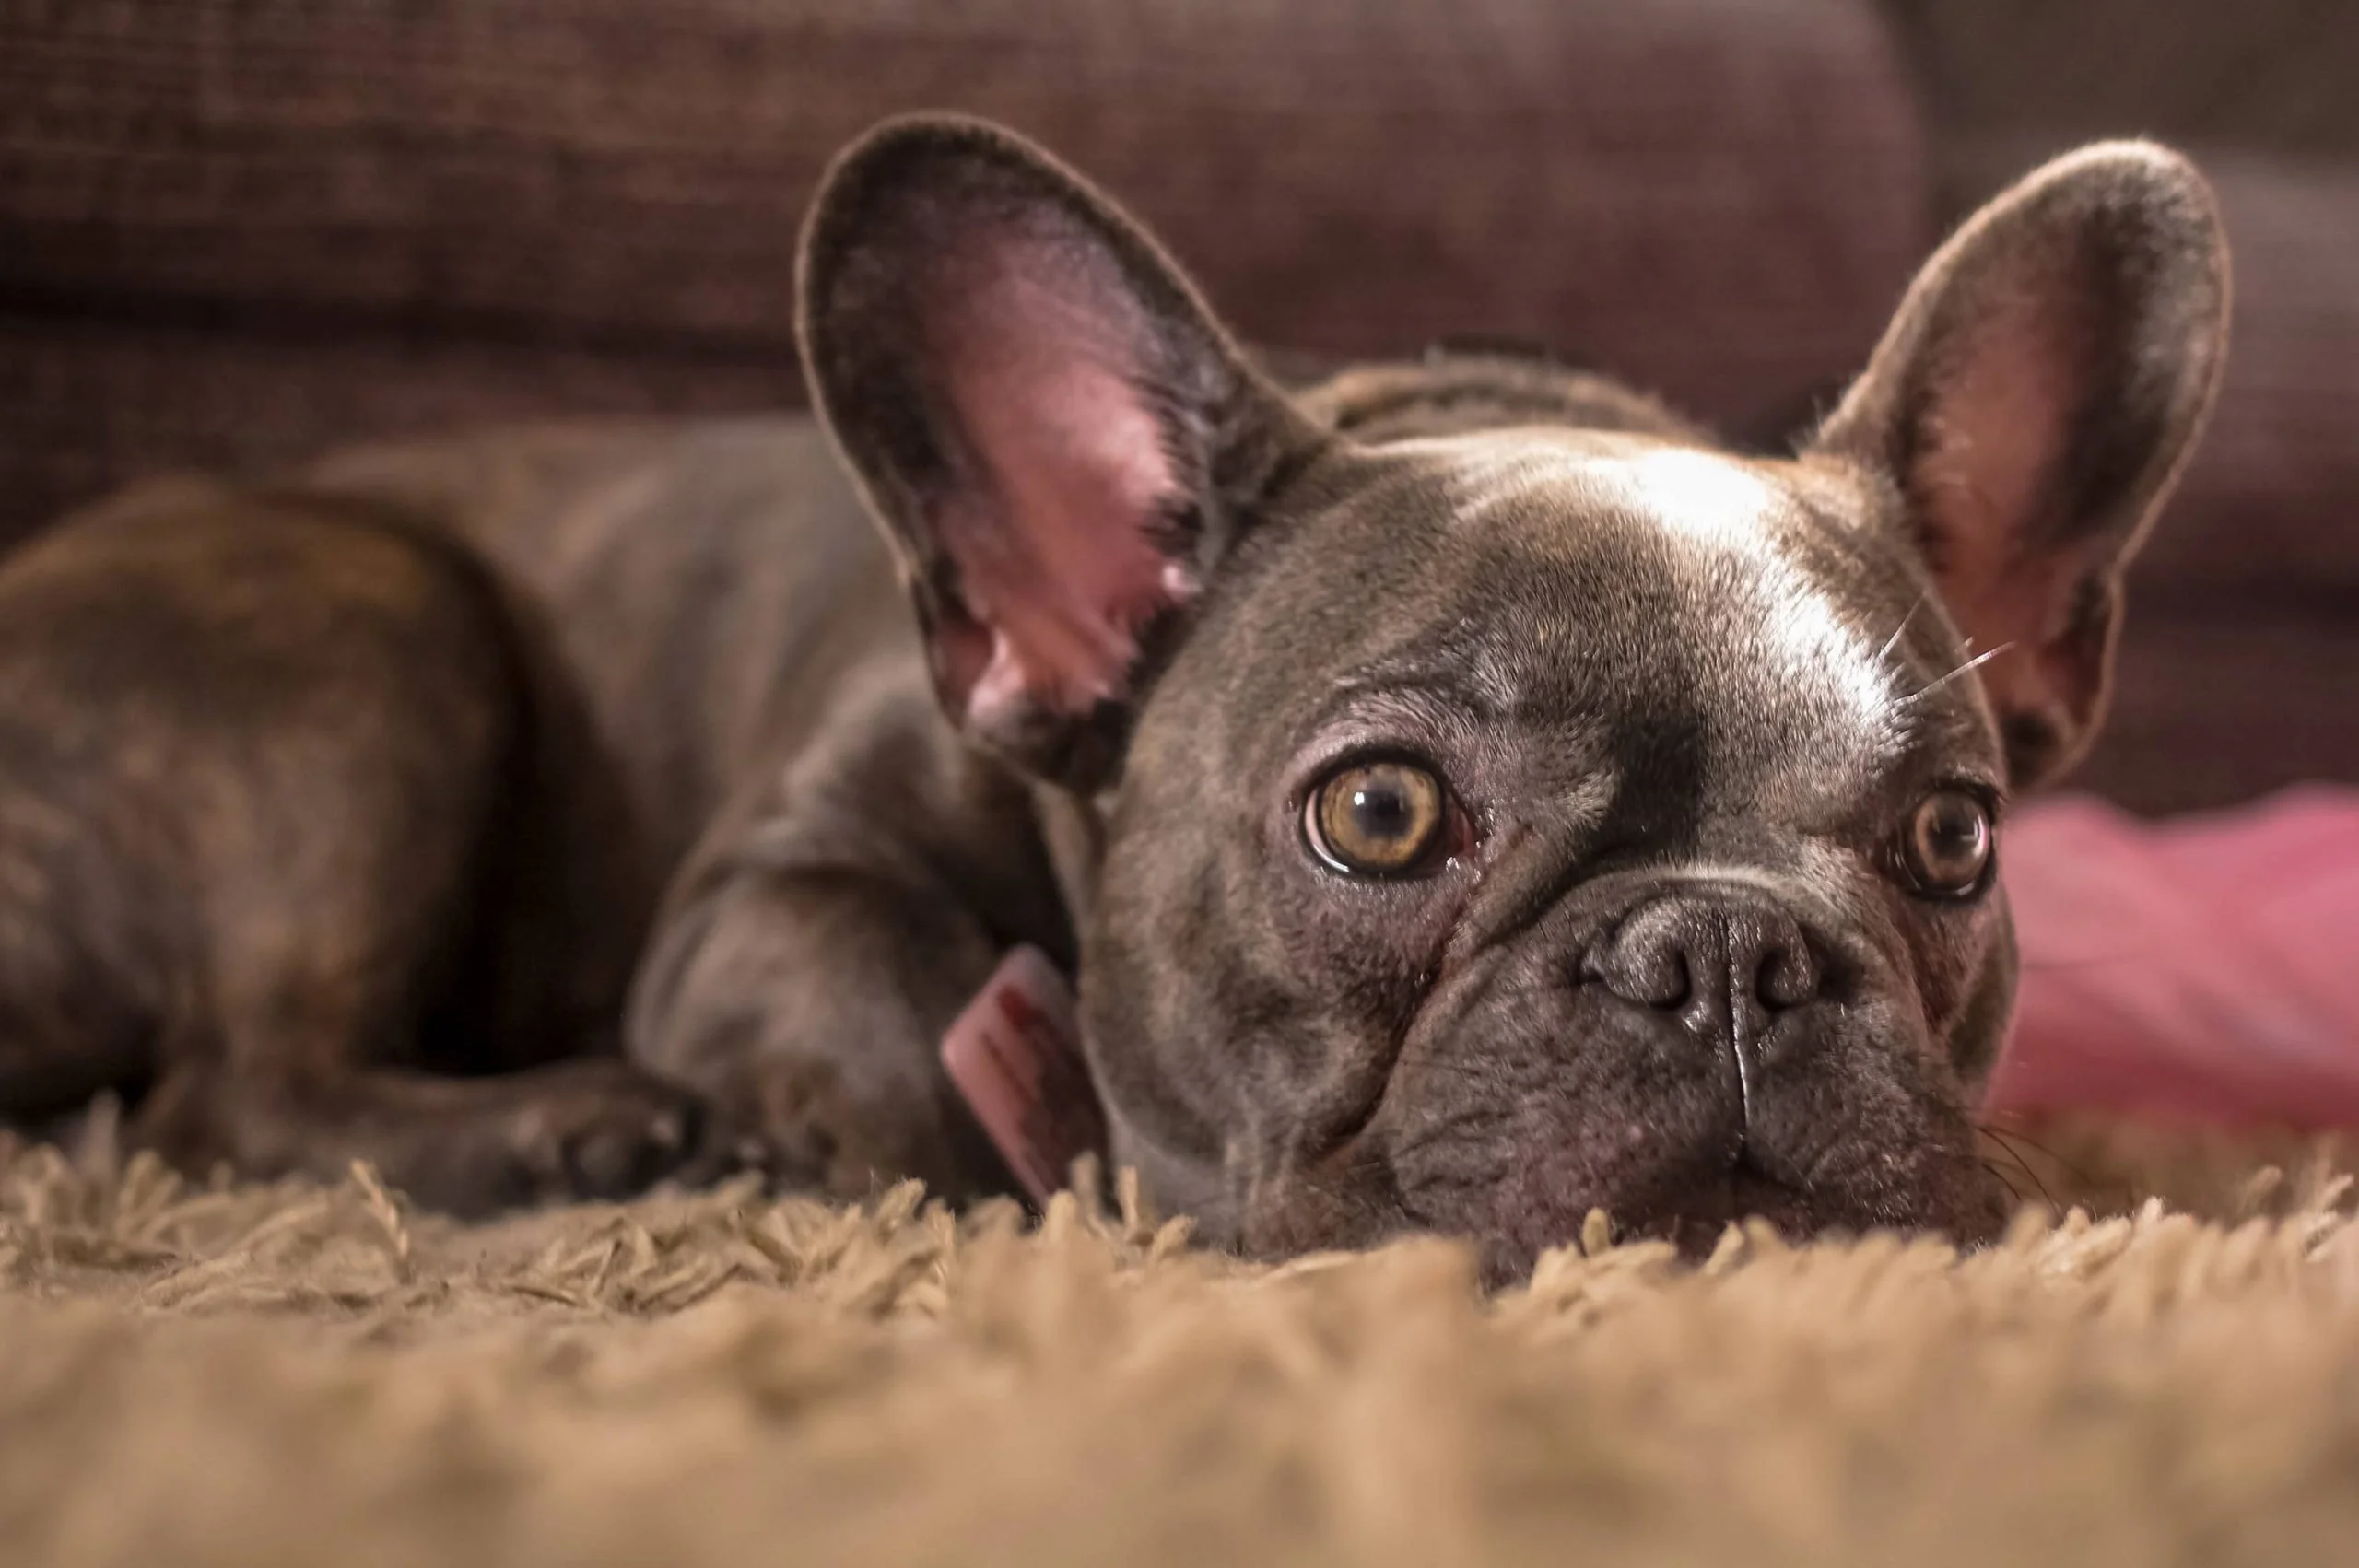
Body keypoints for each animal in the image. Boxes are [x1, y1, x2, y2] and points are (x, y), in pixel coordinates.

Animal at [0, 119, 2226, 1273]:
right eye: (1380, 813)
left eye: (1951, 838)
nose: (1729, 952)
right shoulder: (763, 893)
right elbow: (901, 1003)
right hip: (376, 638)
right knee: (227, 1081)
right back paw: (578, 1130)